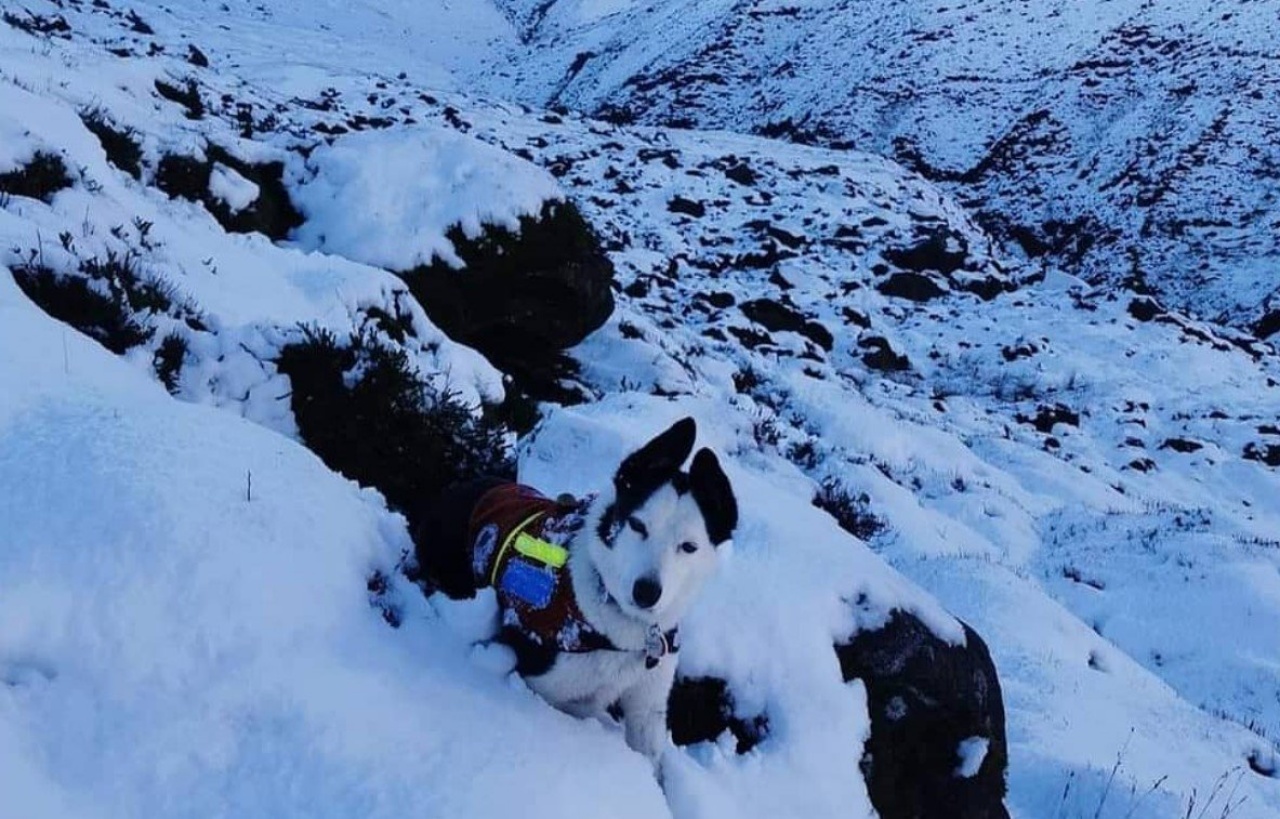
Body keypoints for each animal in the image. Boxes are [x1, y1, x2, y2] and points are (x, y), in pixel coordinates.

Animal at [417, 419, 742, 772]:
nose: (646, 592)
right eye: (637, 525)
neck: (617, 623)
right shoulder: (541, 683)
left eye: (689, 547)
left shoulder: (648, 704)